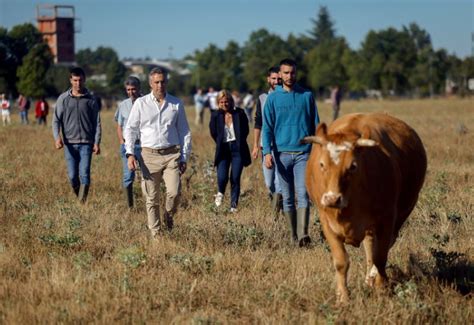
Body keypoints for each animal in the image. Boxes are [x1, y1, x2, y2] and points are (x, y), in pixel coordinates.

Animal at [302, 112, 428, 302]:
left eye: (353, 166)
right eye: (322, 164)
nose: (332, 199)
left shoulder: (387, 220)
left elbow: (380, 257)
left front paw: (382, 288)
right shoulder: (327, 222)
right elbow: (341, 261)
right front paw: (343, 296)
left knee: (377, 250)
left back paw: (373, 277)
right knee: (369, 246)